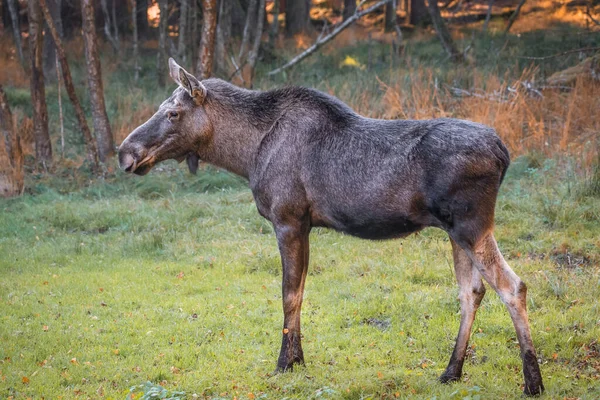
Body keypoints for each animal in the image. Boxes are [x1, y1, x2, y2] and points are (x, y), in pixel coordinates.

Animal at [117, 57, 544, 396]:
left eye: (173, 113)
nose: (125, 153)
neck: (245, 154)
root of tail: (504, 154)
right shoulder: (305, 225)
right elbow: (302, 292)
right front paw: (299, 360)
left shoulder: (288, 219)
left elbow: (289, 294)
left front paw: (284, 364)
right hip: (456, 230)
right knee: (472, 292)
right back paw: (451, 372)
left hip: (471, 224)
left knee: (513, 287)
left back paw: (532, 382)